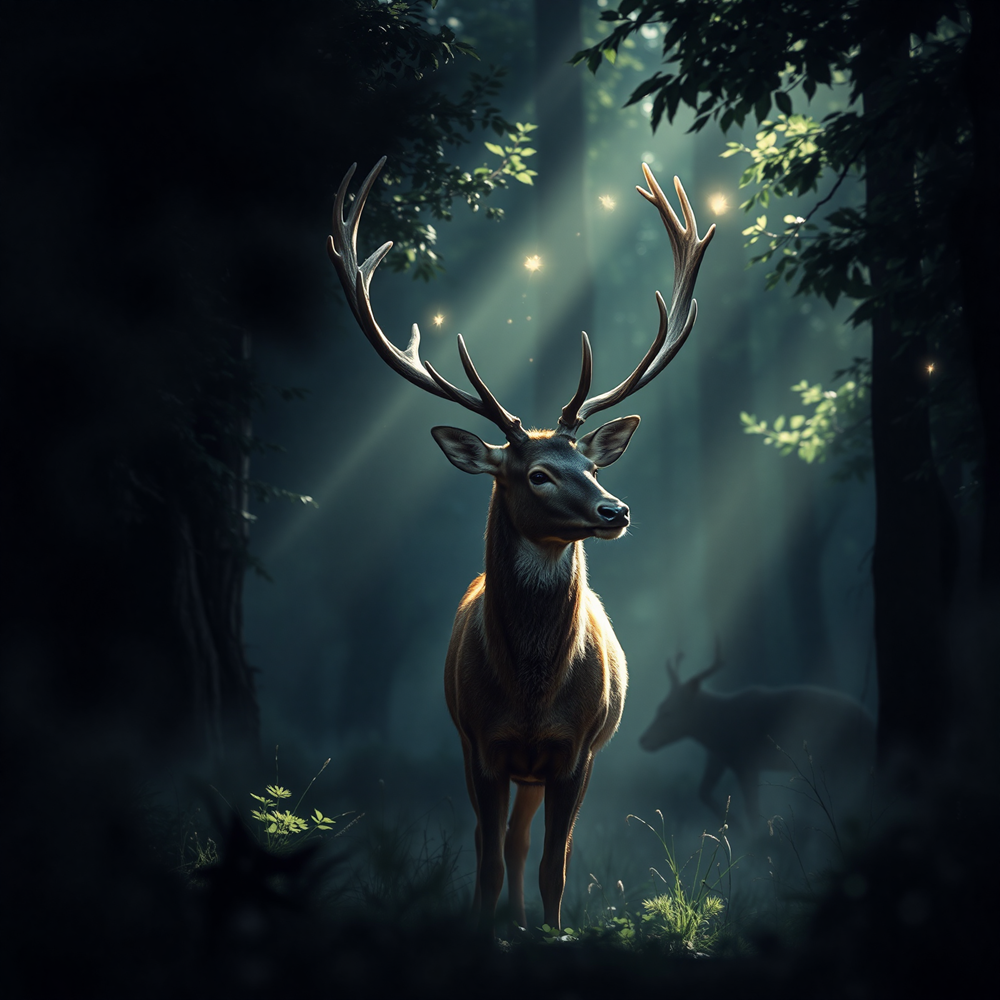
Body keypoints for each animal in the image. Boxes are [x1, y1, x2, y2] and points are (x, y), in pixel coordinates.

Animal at [327, 157, 714, 933]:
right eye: (536, 473)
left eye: (589, 464)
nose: (615, 509)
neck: (533, 696)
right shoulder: (480, 743)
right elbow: (483, 857)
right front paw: (488, 926)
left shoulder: (577, 750)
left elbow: (553, 868)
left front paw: (551, 930)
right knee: (500, 840)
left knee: (523, 842)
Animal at [639, 646, 876, 829]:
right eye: (659, 707)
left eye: (668, 711)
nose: (643, 740)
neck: (718, 728)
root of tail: (870, 722)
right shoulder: (719, 758)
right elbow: (703, 792)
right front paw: (736, 828)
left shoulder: (747, 763)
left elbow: (752, 811)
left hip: (843, 761)